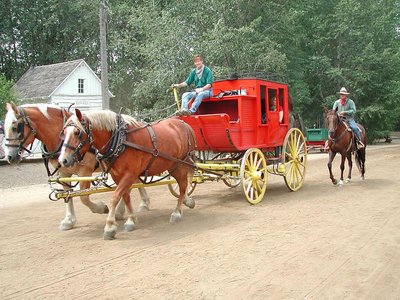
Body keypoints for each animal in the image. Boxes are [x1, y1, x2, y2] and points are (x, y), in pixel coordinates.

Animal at [3, 102, 151, 231]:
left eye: (16, 127)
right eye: (4, 128)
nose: (9, 156)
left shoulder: (85, 171)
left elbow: (84, 197)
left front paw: (101, 208)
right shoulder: (63, 172)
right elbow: (68, 195)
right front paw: (69, 220)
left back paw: (125, 209)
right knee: (132, 182)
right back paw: (140, 204)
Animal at [58, 109, 197, 240]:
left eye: (78, 133)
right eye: (63, 133)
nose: (62, 160)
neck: (121, 140)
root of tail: (184, 124)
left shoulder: (129, 175)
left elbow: (115, 197)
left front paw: (109, 226)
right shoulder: (117, 176)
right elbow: (125, 197)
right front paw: (131, 220)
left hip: (180, 165)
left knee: (183, 185)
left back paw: (177, 212)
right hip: (173, 166)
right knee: (183, 184)